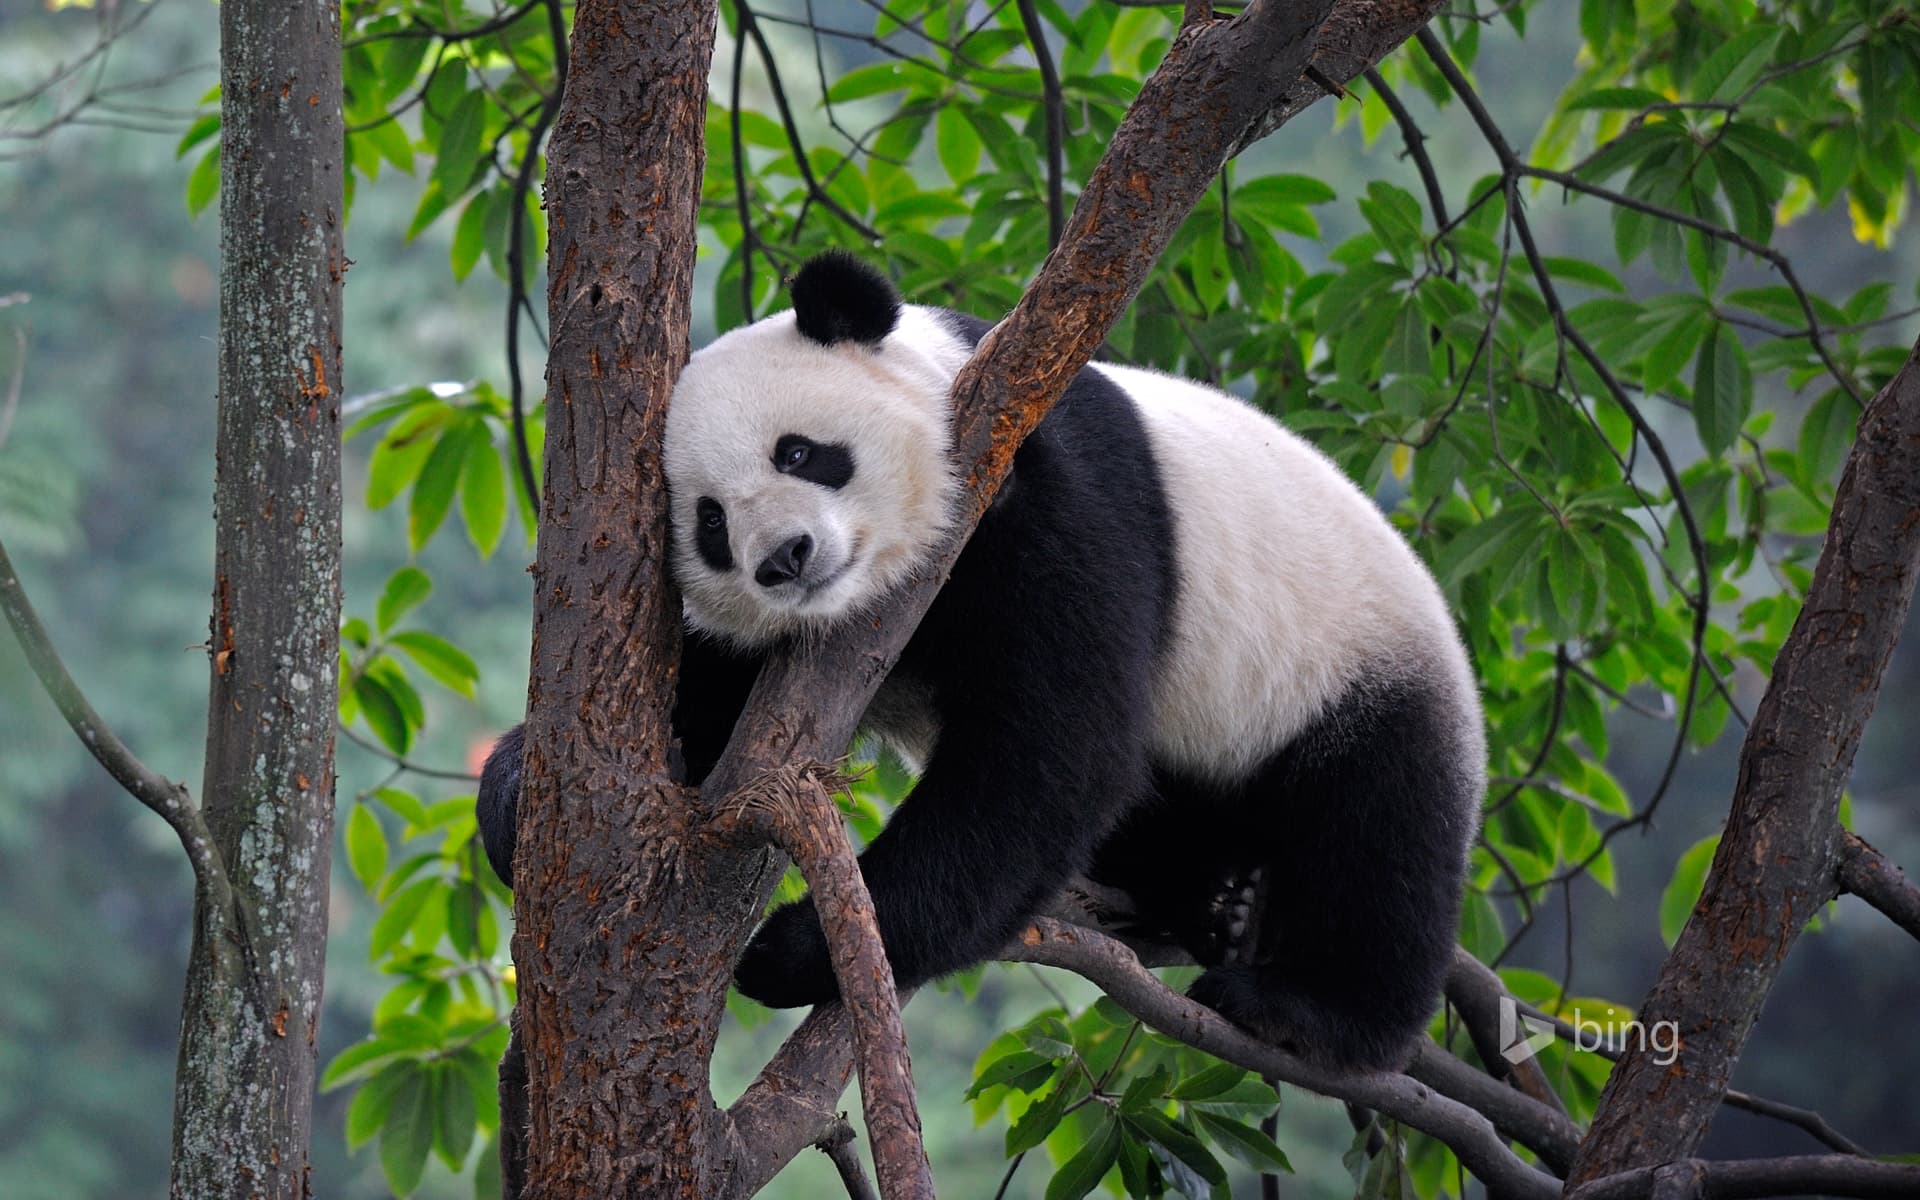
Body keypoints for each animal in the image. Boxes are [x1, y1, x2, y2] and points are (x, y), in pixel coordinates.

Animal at [478, 251, 1485, 1072]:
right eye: (712, 525)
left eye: (800, 452)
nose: (786, 559)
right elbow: (711, 703)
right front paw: (520, 796)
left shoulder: (1046, 490)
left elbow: (1048, 750)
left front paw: (797, 948)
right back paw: (1213, 900)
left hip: (1354, 659)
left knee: (1379, 828)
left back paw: (1305, 1010)